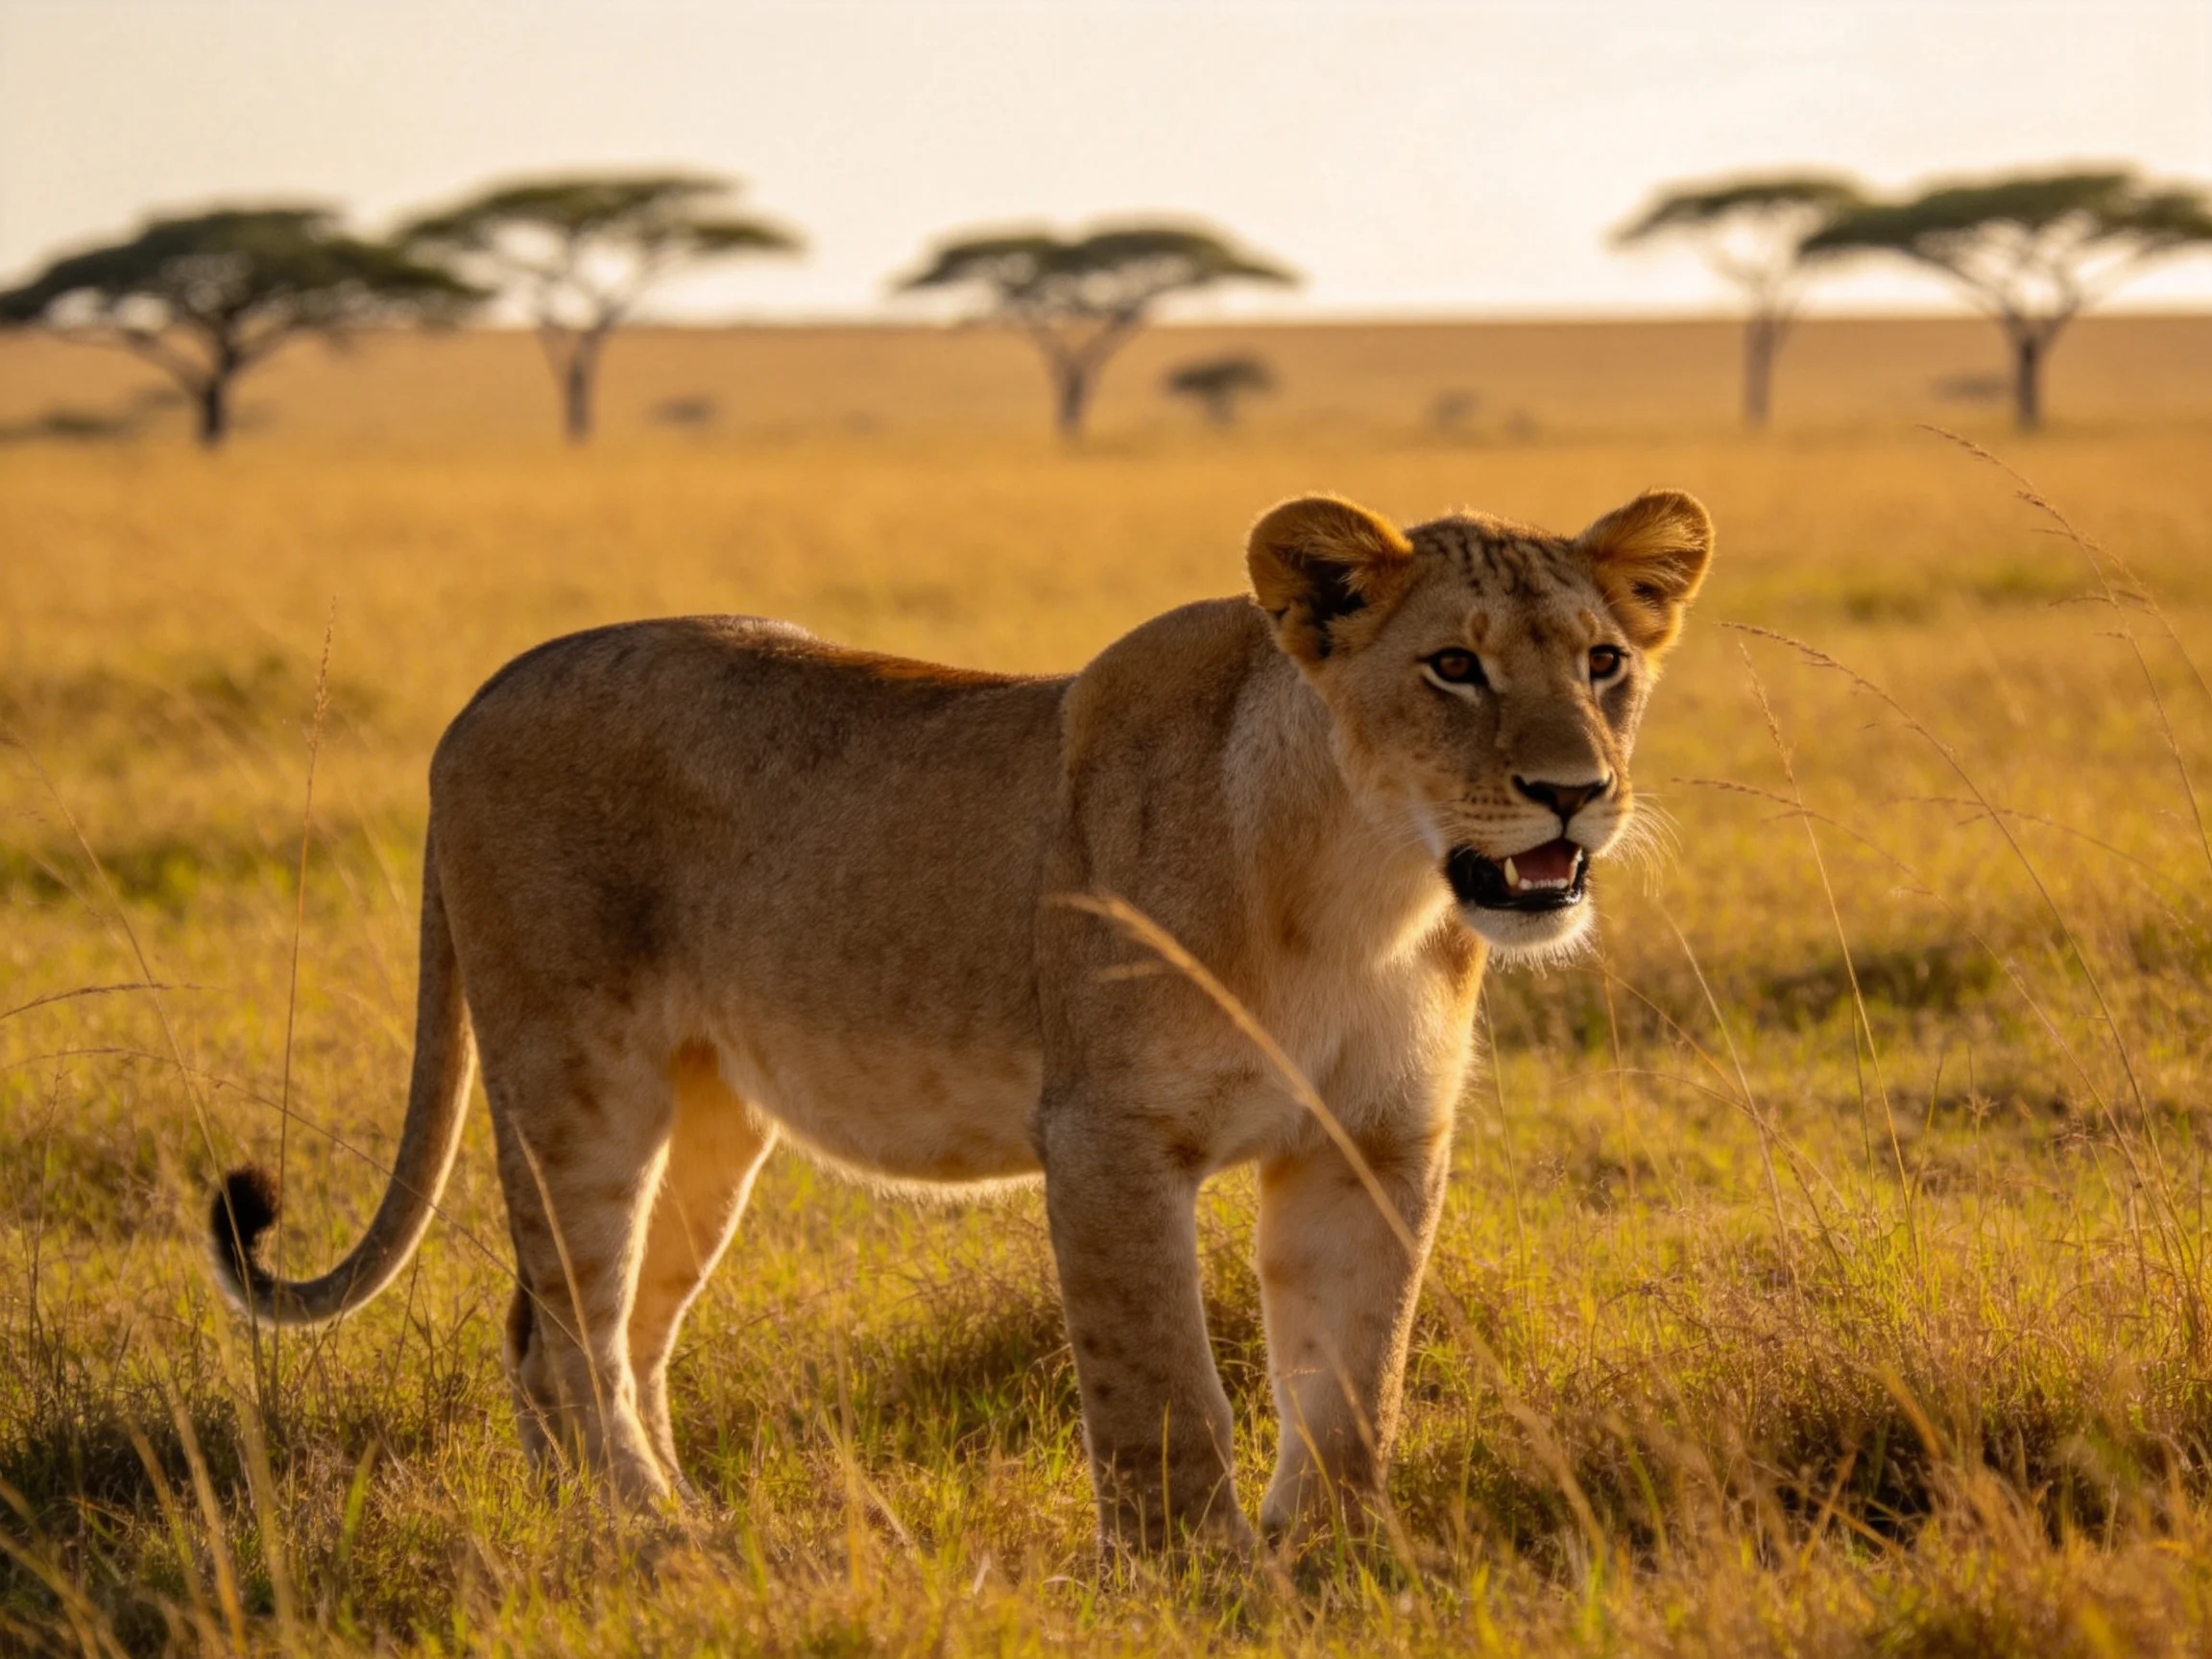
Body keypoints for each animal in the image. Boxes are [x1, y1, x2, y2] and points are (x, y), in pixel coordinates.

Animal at [209, 487, 1712, 1554]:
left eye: (1603, 663)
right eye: (1454, 666)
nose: (1575, 792)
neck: (1366, 888)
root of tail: (479, 696)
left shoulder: (1373, 1142)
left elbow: (1352, 1377)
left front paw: (1334, 1564)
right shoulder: (1109, 1136)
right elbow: (1164, 1386)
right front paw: (1195, 1579)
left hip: (710, 1119)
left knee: (625, 1326)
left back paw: (679, 1529)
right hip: (581, 1083)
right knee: (556, 1332)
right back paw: (630, 1534)